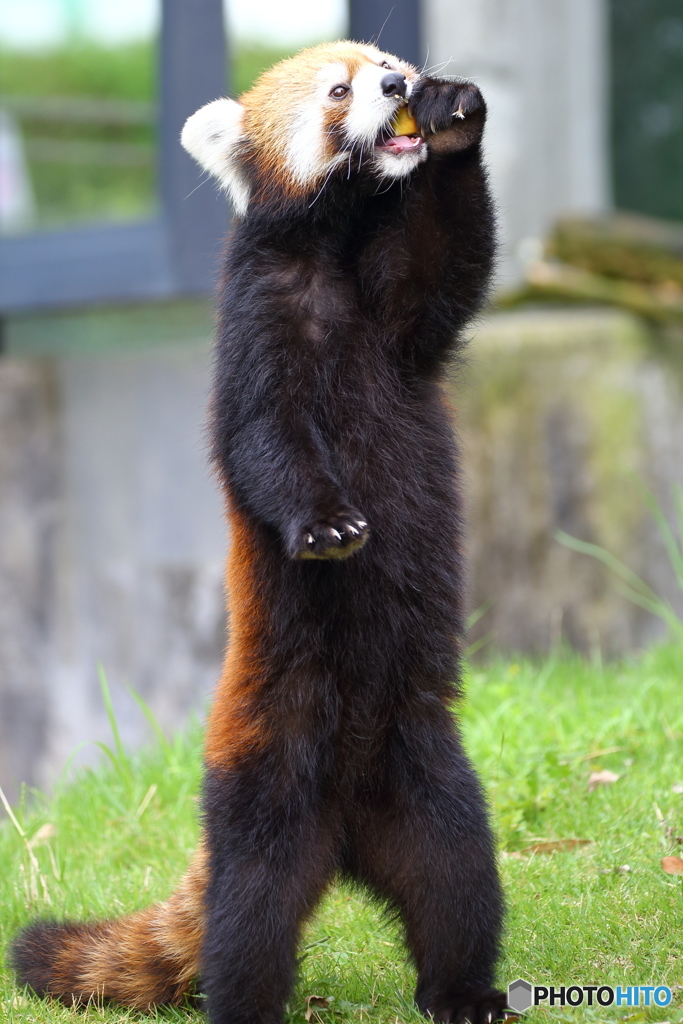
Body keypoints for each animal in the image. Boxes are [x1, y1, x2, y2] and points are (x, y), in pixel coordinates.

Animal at [9, 39, 507, 1024]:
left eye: (386, 60)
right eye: (339, 91)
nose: (400, 86)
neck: (337, 252)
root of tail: (347, 837)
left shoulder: (403, 318)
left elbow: (450, 260)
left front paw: (455, 117)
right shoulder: (255, 332)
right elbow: (265, 444)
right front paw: (327, 526)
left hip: (428, 776)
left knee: (456, 877)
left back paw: (464, 990)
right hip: (264, 783)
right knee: (249, 917)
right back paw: (248, 997)